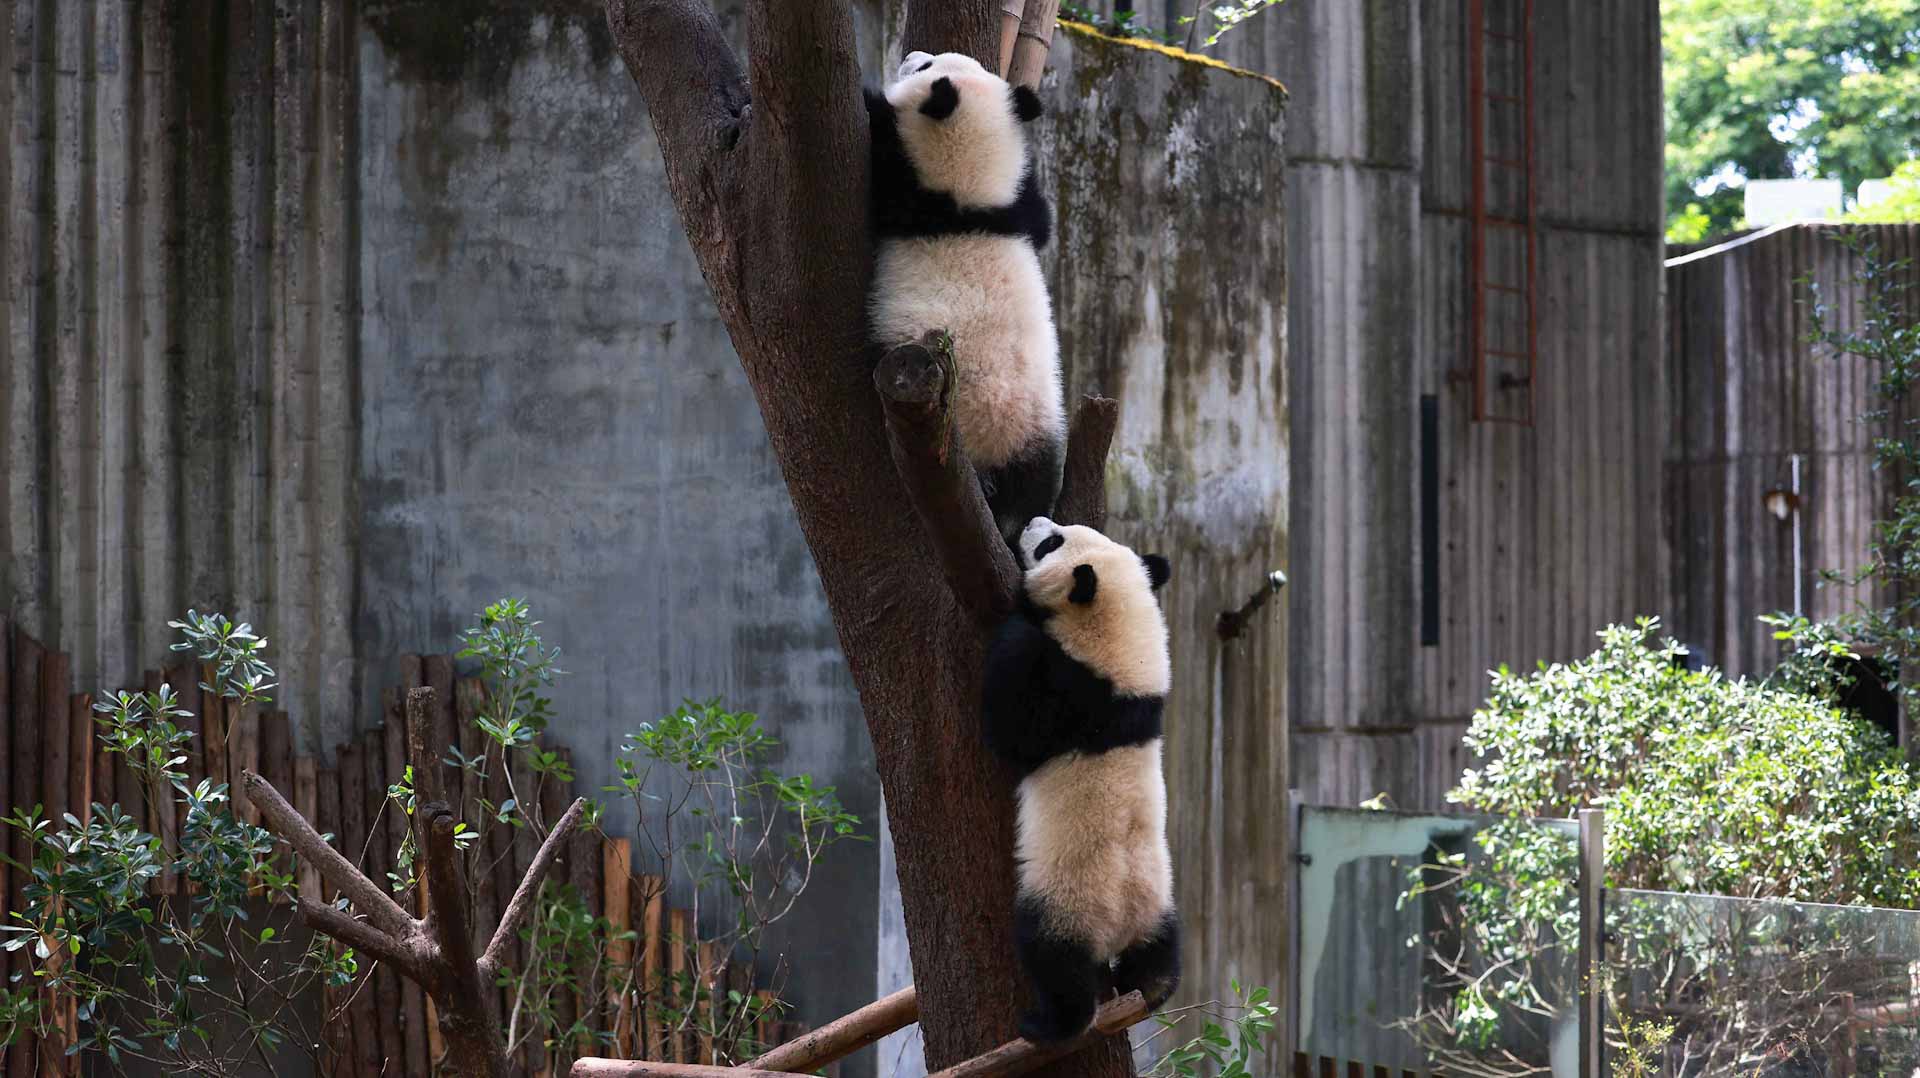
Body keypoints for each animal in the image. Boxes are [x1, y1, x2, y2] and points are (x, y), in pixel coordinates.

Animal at [866, 51, 1065, 545]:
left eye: (927, 67)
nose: (911, 56)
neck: (969, 204)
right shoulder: (1018, 213)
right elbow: (1041, 217)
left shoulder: (909, 197)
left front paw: (874, 103)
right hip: (1044, 432)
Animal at [982, 516, 1180, 1043]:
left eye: (1053, 543)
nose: (1033, 522)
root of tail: (1122, 926)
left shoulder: (1077, 700)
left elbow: (1015, 736)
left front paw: (1019, 625)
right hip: (1160, 898)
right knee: (1163, 950)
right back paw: (1154, 987)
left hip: (1065, 899)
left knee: (1053, 959)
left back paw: (1049, 1024)